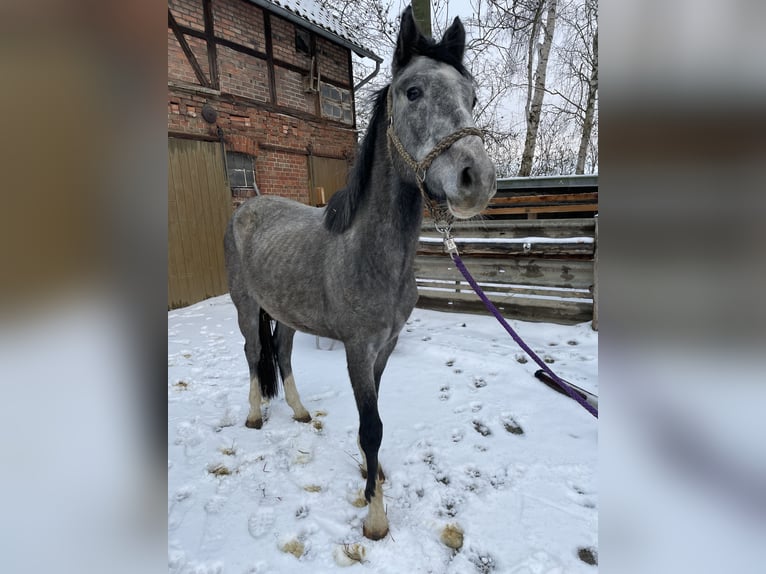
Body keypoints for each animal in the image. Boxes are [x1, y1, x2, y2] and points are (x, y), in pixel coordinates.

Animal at [222, 6, 498, 544]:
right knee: (252, 352)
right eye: (412, 91)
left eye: (472, 96)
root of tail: (246, 208)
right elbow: (371, 426)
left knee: (281, 352)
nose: (477, 179)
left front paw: (374, 477)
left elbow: (374, 421)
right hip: (246, 307)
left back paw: (300, 412)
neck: (370, 254)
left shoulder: (384, 346)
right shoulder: (356, 347)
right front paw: (375, 517)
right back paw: (254, 416)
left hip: (287, 314)